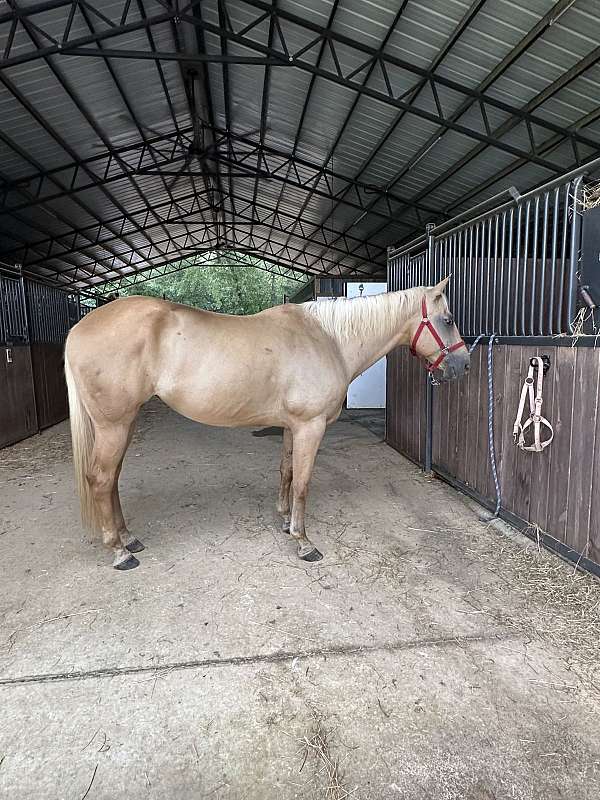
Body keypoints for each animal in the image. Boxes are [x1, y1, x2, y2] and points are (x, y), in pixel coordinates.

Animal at [64, 277, 469, 570]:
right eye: (448, 320)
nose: (463, 365)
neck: (328, 339)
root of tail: (78, 329)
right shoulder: (310, 426)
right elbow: (303, 483)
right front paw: (303, 542)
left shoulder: (293, 426)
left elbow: (287, 472)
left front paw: (285, 520)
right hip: (114, 425)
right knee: (100, 479)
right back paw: (120, 552)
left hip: (124, 423)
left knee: (112, 480)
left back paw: (128, 538)